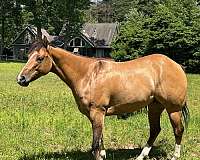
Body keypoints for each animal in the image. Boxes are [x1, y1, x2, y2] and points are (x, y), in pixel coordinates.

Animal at [16, 37, 189, 159]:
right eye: (28, 55)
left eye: (39, 58)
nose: (21, 79)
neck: (87, 75)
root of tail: (176, 65)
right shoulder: (95, 115)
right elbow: (99, 142)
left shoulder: (97, 112)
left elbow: (95, 146)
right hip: (155, 106)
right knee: (155, 130)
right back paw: (140, 156)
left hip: (173, 109)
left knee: (178, 130)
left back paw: (175, 156)